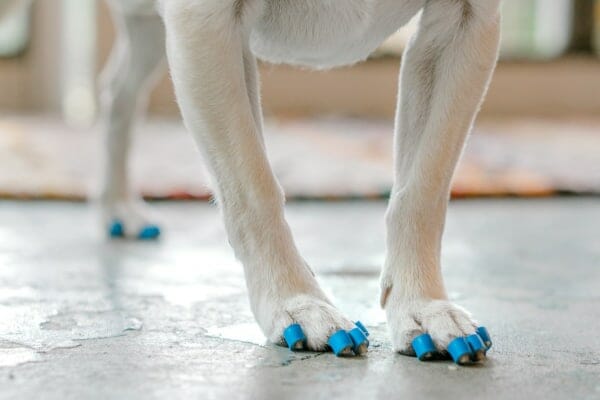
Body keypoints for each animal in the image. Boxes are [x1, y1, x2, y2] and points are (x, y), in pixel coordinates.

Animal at [3, 0, 506, 360]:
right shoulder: (207, 26)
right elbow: (254, 187)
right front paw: (295, 303)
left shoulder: (465, 23)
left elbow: (421, 189)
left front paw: (423, 307)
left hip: (146, 30)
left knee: (117, 95)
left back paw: (118, 208)